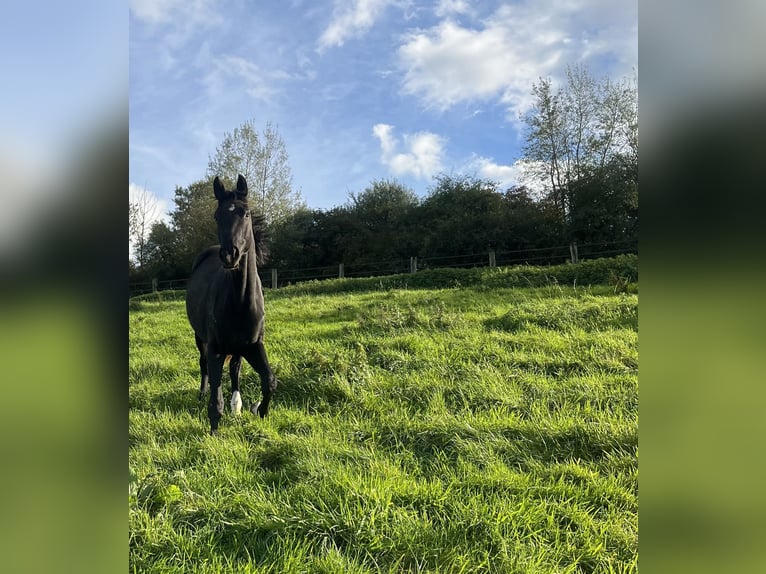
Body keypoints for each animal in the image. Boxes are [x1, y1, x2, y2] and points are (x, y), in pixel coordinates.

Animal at [185, 174, 277, 434]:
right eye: (217, 216)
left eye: (245, 214)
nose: (229, 255)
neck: (240, 302)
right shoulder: (215, 348)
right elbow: (216, 400)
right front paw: (214, 434)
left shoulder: (255, 344)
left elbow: (269, 380)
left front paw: (260, 411)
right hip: (200, 339)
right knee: (204, 365)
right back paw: (202, 393)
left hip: (238, 347)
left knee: (235, 367)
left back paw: (237, 404)